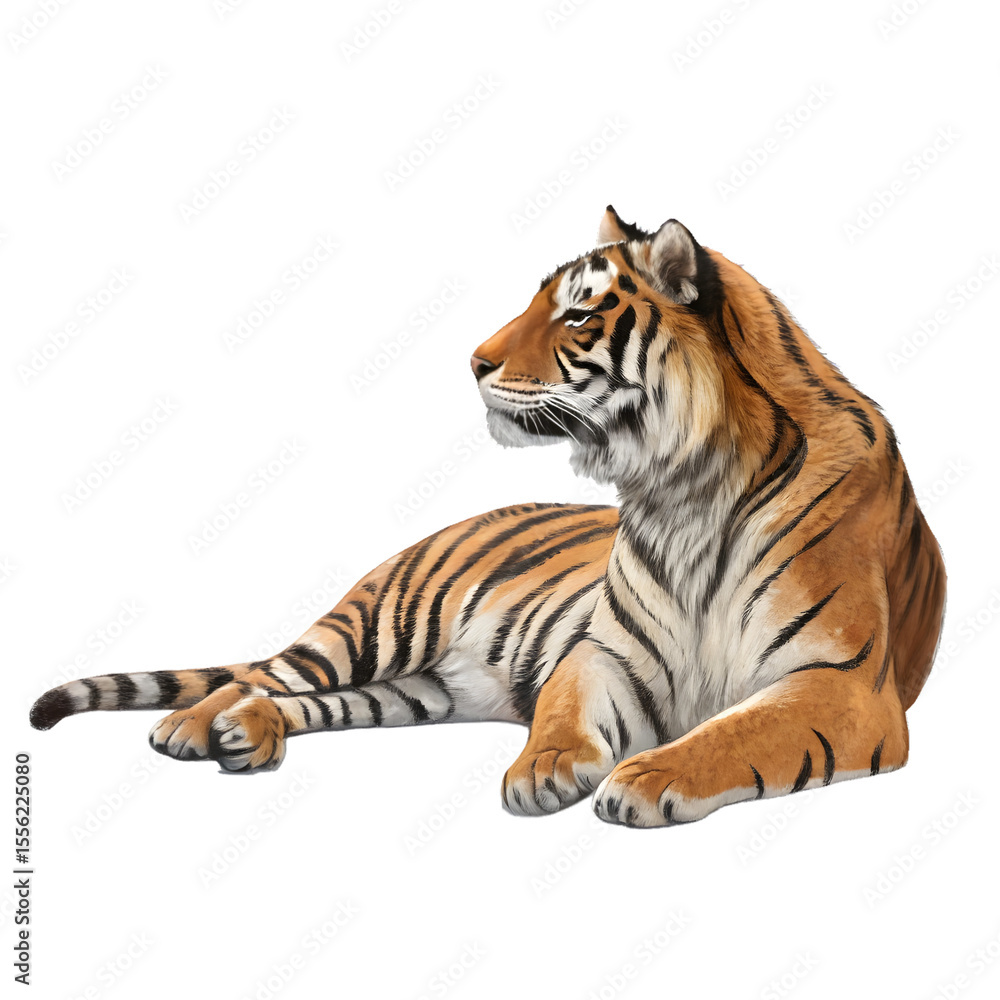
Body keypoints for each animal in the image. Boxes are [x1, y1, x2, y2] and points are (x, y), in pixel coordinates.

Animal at [29, 206, 946, 827]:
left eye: (577, 313)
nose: (473, 360)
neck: (685, 486)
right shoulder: (603, 651)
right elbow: (562, 711)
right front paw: (544, 770)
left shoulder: (843, 684)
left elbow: (734, 733)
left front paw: (646, 777)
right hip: (374, 626)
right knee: (266, 673)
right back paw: (193, 725)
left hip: (418, 691)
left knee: (308, 700)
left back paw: (241, 736)